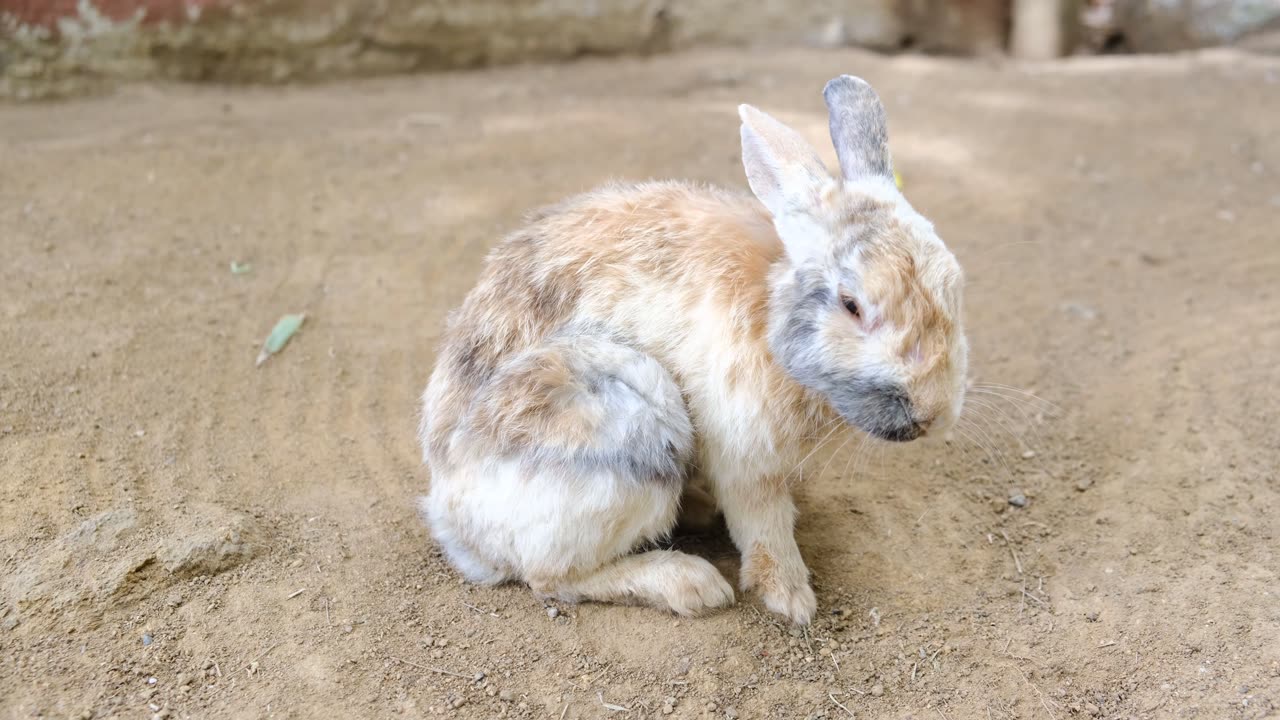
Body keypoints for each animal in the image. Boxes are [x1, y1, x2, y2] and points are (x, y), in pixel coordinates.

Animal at [414, 74, 962, 622]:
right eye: (851, 305)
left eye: (954, 285)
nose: (933, 412)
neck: (770, 311)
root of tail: (453, 520)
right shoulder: (745, 452)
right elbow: (765, 526)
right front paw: (792, 600)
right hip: (624, 426)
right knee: (551, 576)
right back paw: (692, 584)